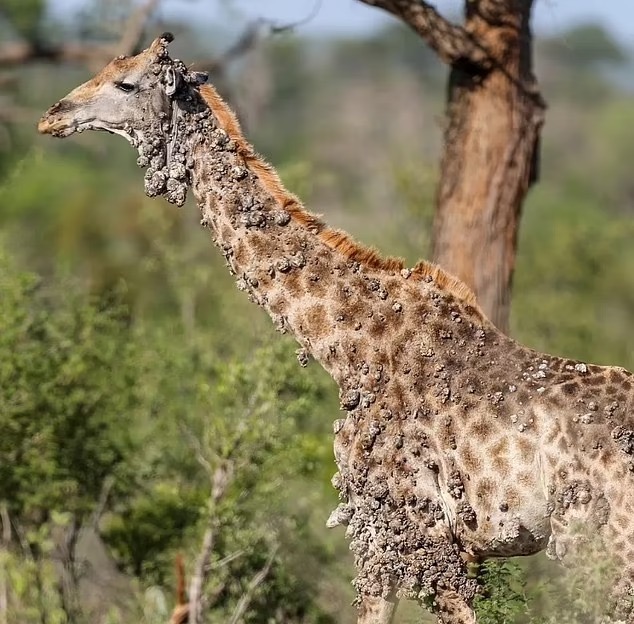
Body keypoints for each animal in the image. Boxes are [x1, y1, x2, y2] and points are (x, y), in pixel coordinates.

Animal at [38, 35, 632, 624]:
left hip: (601, 548)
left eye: (126, 83)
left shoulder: (399, 526)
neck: (347, 348)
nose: (52, 115)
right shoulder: (439, 541)